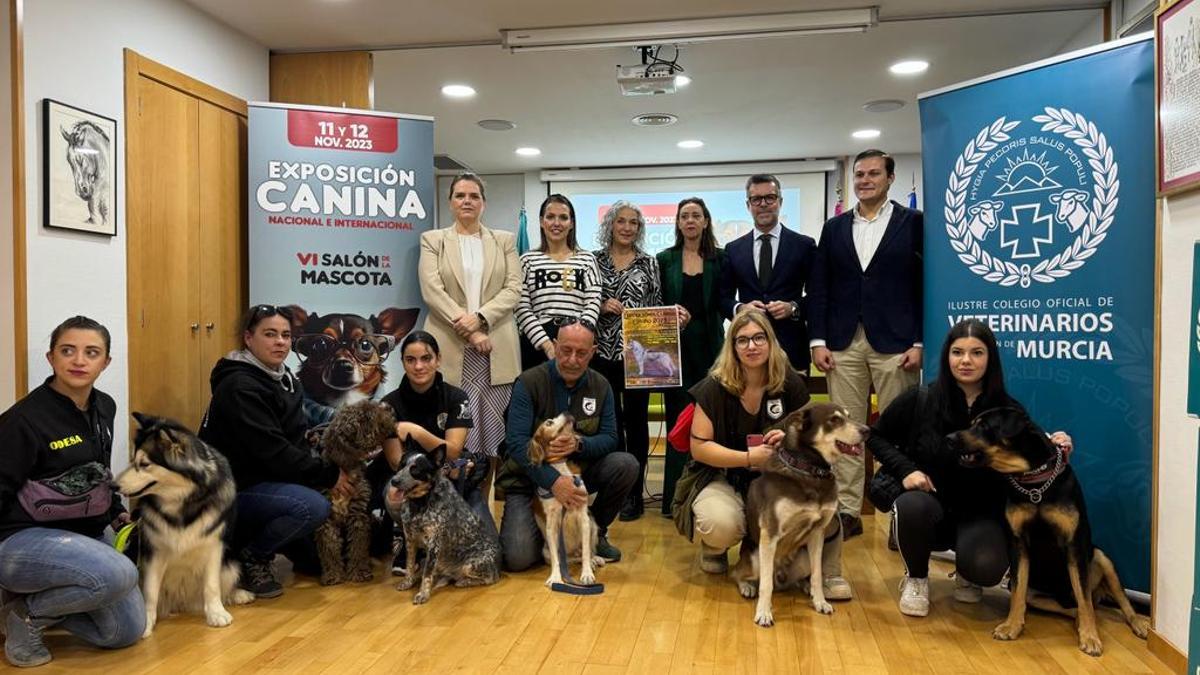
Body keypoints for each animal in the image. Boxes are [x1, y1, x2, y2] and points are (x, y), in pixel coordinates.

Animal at [115, 410, 253, 634]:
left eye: (144, 464)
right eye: (131, 460)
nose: (113, 485)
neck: (181, 501)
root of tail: (180, 604)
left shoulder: (214, 546)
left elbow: (212, 585)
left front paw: (215, 613)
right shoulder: (153, 551)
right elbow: (150, 590)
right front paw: (147, 622)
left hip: (231, 562)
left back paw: (237, 594)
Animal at [381, 441, 499, 598]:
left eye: (415, 469)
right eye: (401, 465)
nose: (394, 481)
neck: (420, 503)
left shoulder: (434, 543)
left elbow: (427, 573)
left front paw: (423, 594)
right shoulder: (410, 539)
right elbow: (410, 564)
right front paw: (408, 582)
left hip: (470, 565)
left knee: (490, 578)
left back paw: (463, 581)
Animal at [729, 398, 864, 624]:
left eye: (849, 416)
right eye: (834, 420)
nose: (868, 430)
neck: (811, 471)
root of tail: (782, 575)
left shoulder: (818, 533)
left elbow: (817, 575)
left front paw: (820, 602)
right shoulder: (770, 533)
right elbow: (766, 585)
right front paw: (763, 613)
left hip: (804, 558)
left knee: (802, 577)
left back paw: (806, 587)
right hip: (756, 558)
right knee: (740, 574)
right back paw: (747, 586)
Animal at [950, 408, 1147, 653]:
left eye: (984, 426)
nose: (949, 438)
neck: (1034, 480)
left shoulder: (1074, 545)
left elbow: (1084, 599)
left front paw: (1090, 637)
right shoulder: (1018, 544)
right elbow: (1018, 592)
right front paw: (1011, 626)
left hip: (1103, 559)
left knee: (1108, 600)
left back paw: (1137, 624)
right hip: (1037, 593)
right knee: (1071, 607)